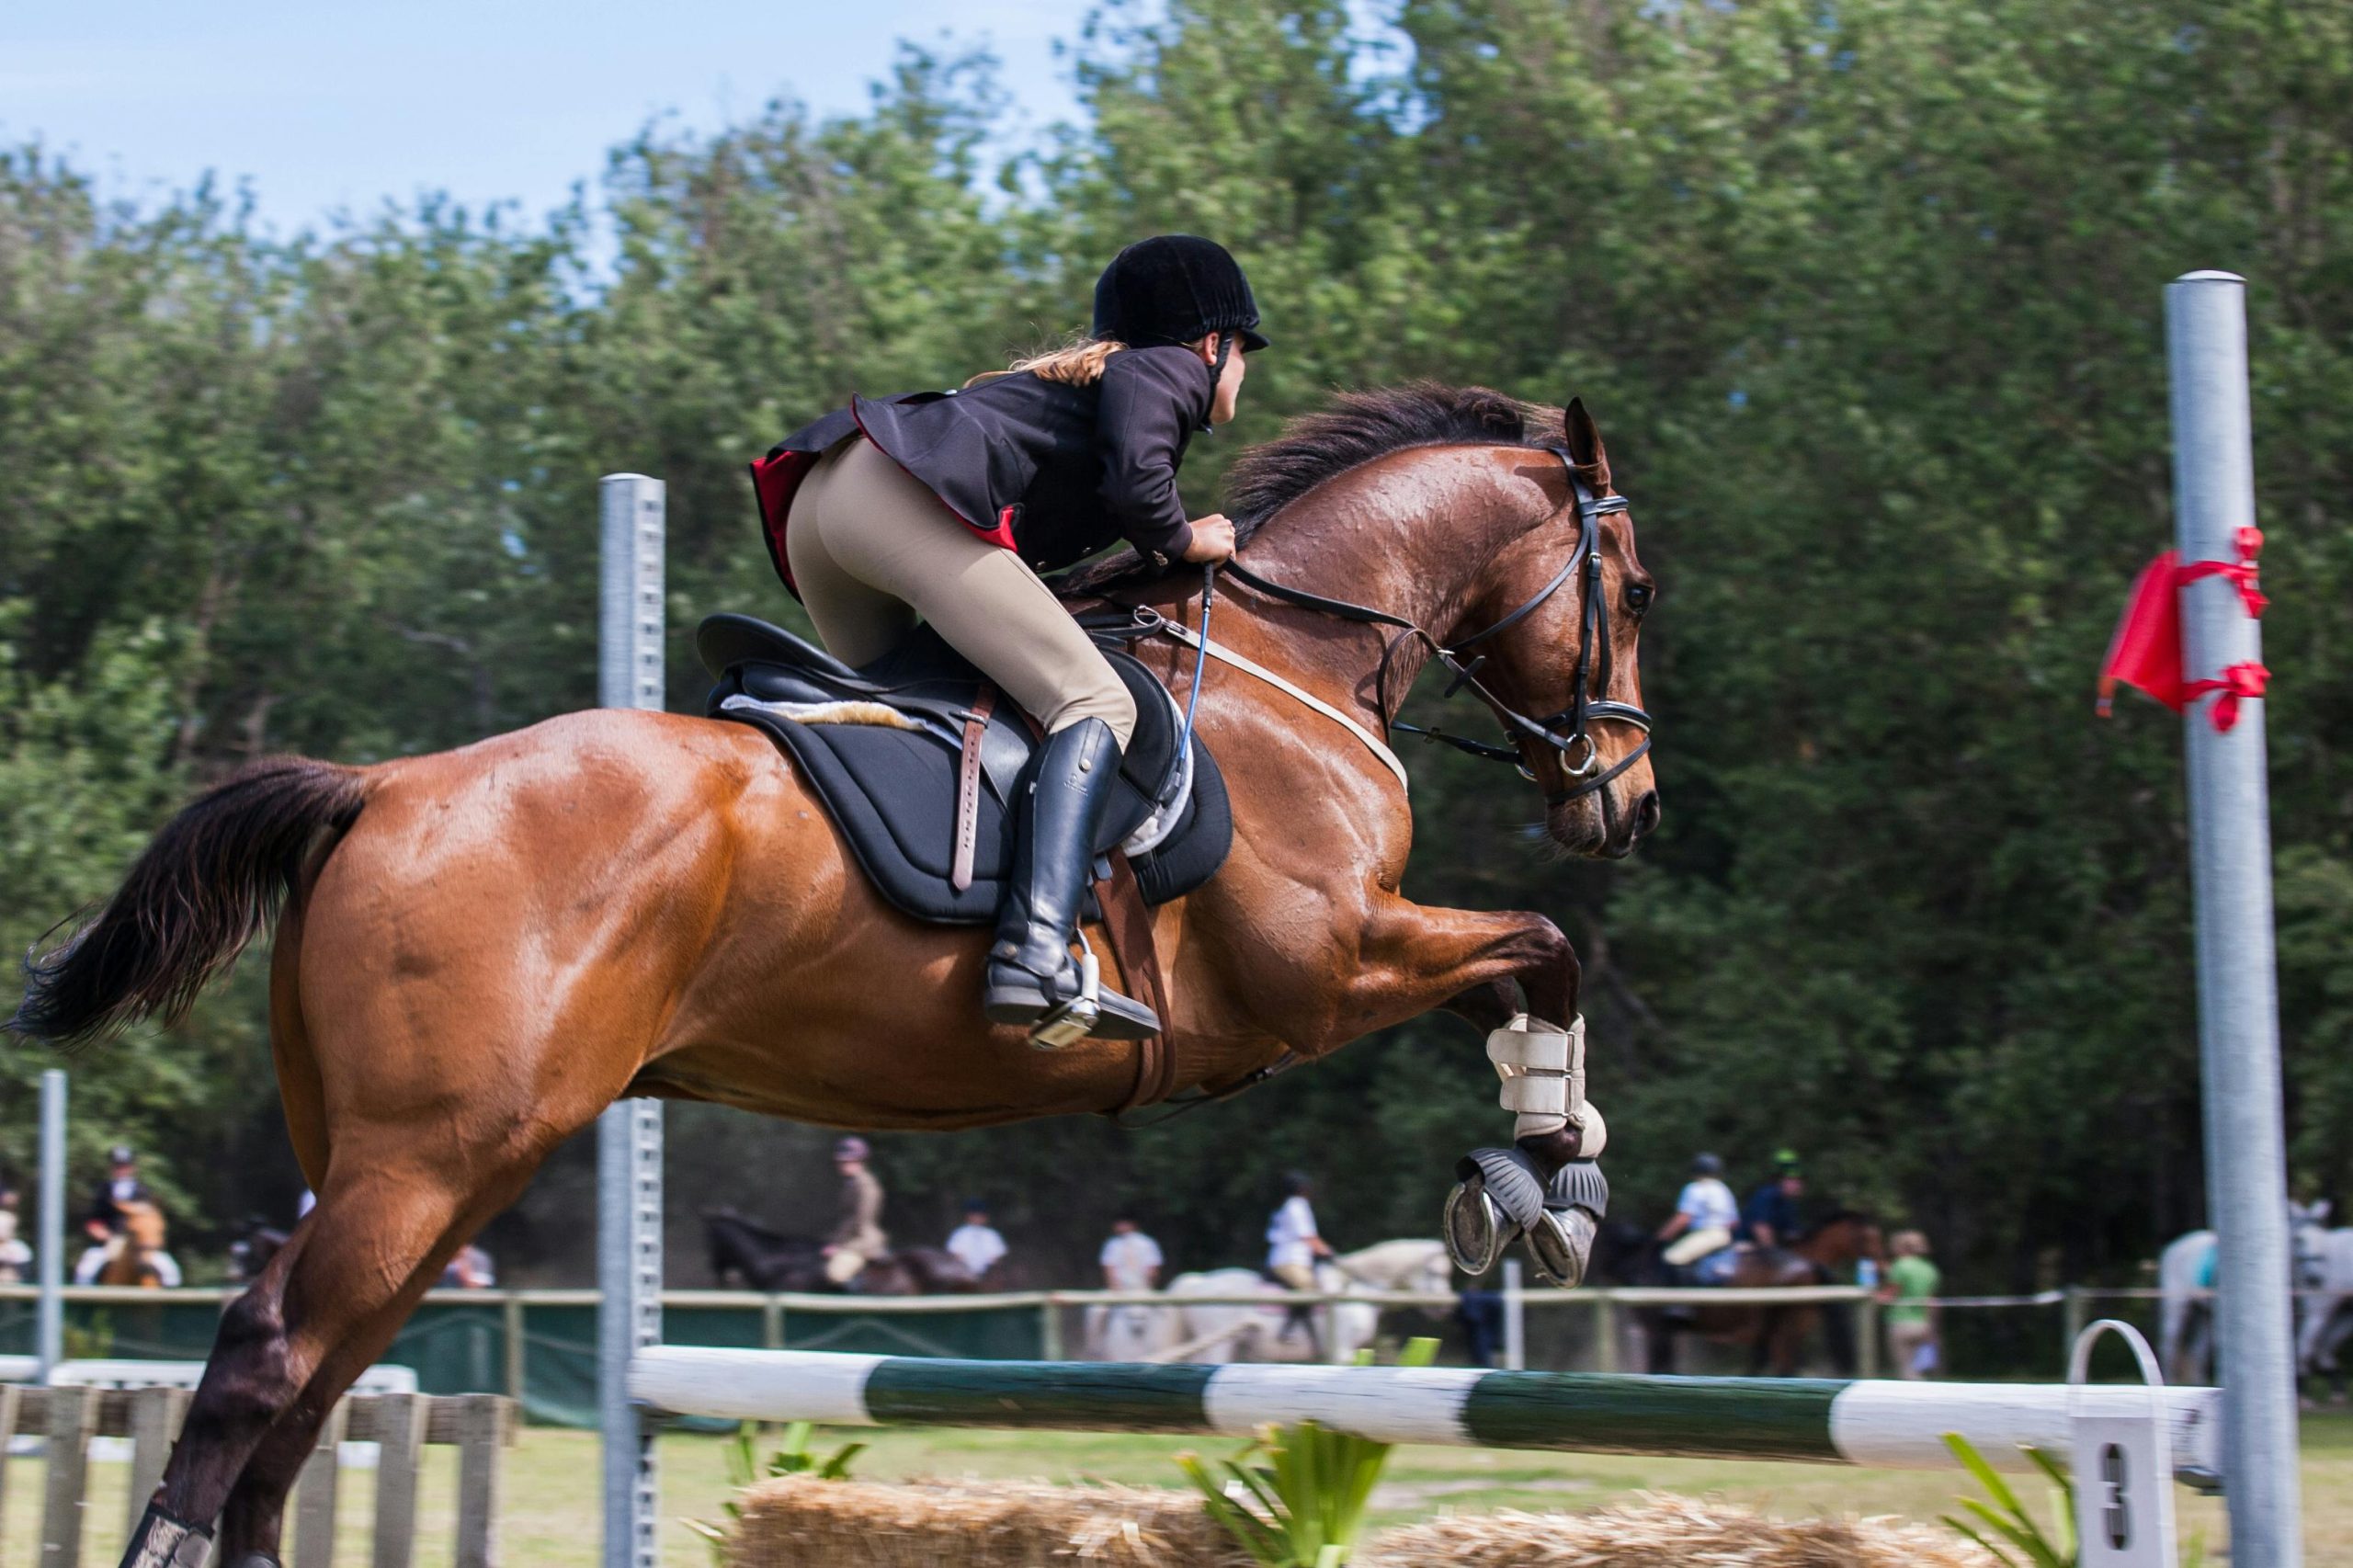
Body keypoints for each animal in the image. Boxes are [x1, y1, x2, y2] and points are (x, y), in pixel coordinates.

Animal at [1082, 1233, 1449, 1356]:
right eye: (1437, 1273)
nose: (1443, 1311)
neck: (1356, 1286)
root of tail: (1197, 1282)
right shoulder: (1343, 1349)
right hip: (1220, 1342)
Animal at [1590, 1205, 1882, 1365]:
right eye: (1868, 1236)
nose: (1882, 1267)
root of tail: (1805, 1265)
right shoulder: (1663, 1333)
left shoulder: (1659, 1331)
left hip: (1785, 1330)